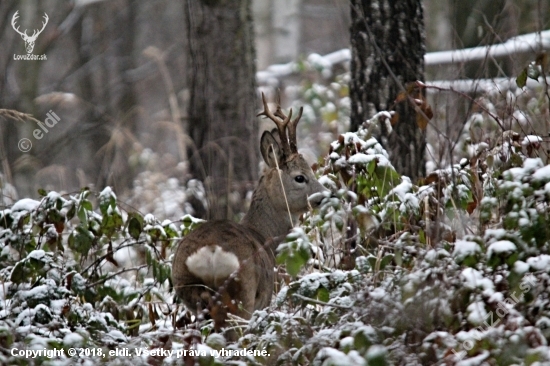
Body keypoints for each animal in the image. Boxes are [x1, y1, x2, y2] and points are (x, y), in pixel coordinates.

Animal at [172, 93, 328, 330]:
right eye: (300, 177)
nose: (326, 195)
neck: (265, 235)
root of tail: (209, 254)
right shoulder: (265, 298)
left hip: (190, 292)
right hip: (242, 295)